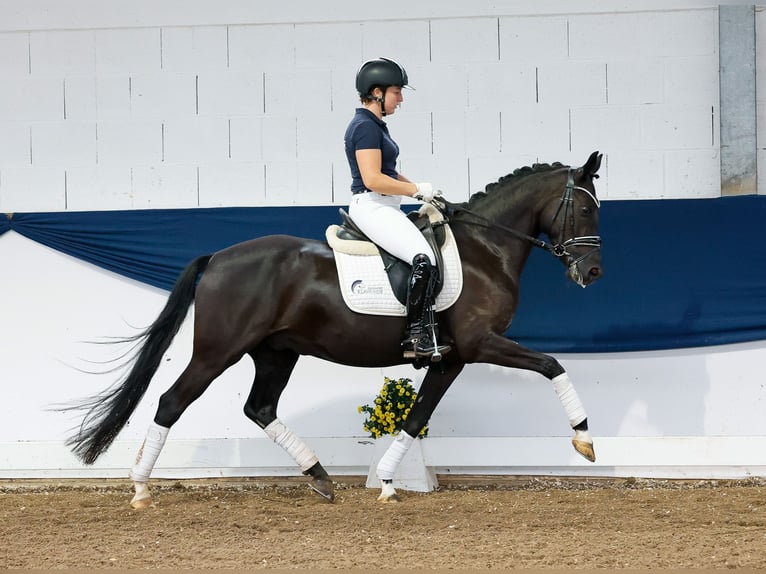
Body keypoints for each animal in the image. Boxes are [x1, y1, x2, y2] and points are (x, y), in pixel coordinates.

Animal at [66, 151, 608, 506]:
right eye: (585, 209)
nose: (593, 273)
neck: (484, 250)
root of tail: (217, 257)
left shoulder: (450, 357)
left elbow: (416, 416)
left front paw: (387, 483)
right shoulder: (479, 344)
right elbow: (551, 364)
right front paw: (584, 439)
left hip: (276, 352)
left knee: (259, 407)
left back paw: (320, 475)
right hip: (218, 351)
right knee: (171, 402)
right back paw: (140, 489)